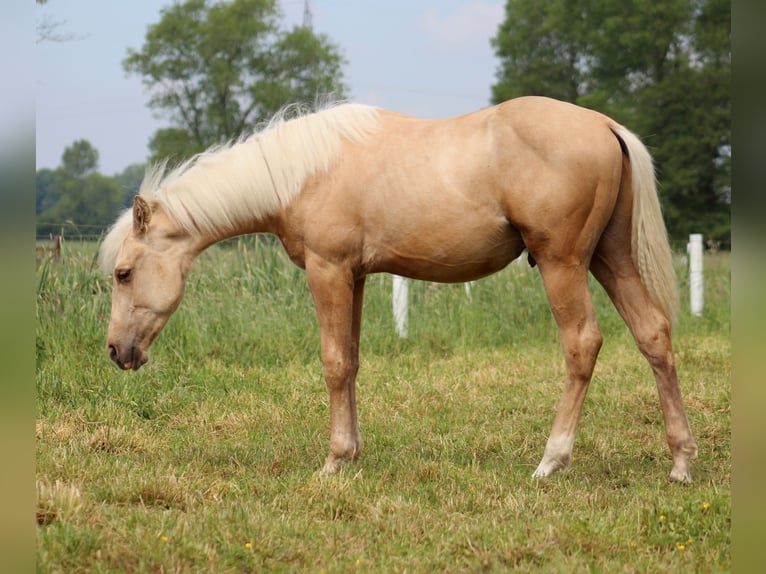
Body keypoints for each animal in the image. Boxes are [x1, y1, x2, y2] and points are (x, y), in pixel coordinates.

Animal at [99, 97, 700, 484]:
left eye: (123, 273)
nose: (116, 351)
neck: (302, 174)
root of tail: (605, 125)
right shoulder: (357, 276)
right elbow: (352, 361)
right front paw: (353, 454)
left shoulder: (328, 271)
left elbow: (333, 362)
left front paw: (334, 461)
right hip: (610, 258)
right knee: (653, 335)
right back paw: (680, 463)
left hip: (563, 264)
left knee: (582, 345)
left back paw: (551, 461)